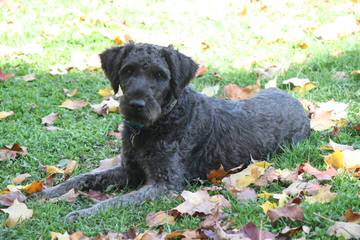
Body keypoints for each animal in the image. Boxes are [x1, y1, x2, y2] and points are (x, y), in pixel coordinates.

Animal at [38, 42, 310, 221]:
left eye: (160, 75)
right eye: (128, 70)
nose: (136, 104)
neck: (159, 123)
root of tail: (299, 103)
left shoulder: (164, 184)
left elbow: (117, 201)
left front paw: (82, 212)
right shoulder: (129, 171)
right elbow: (82, 177)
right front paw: (49, 191)